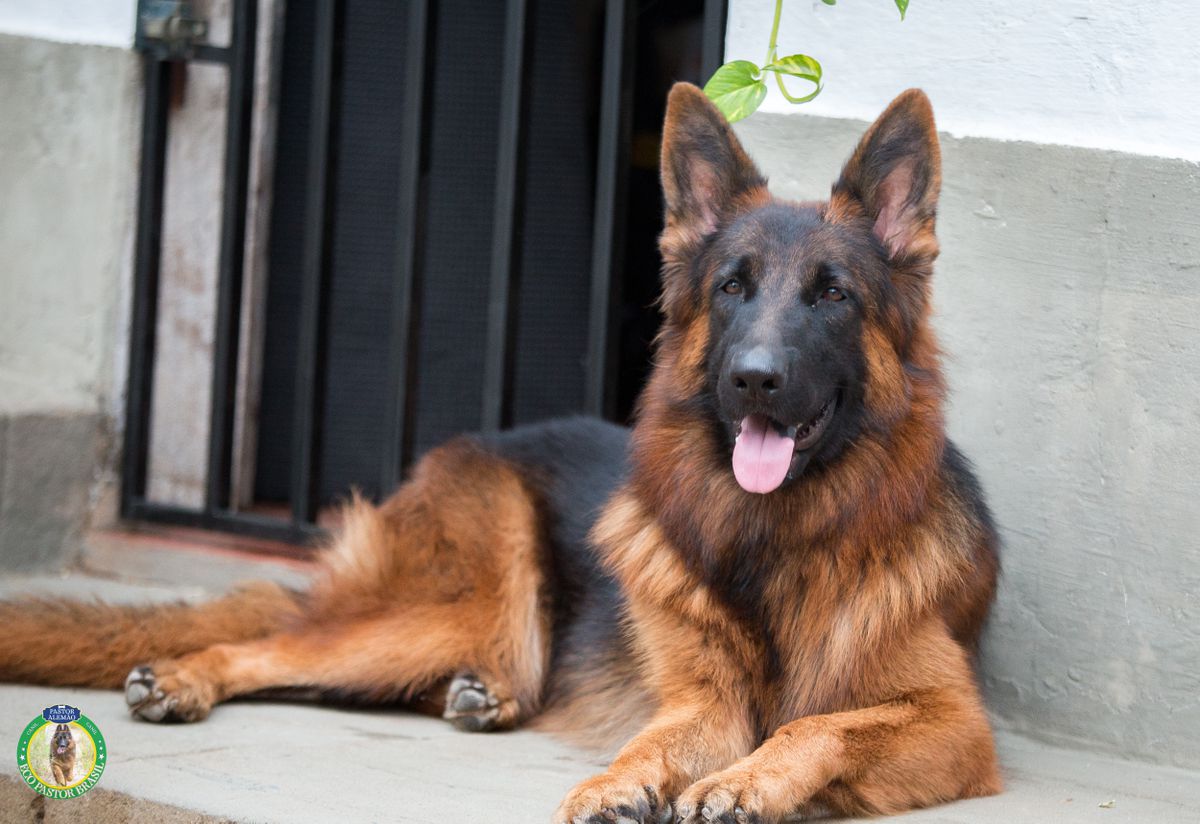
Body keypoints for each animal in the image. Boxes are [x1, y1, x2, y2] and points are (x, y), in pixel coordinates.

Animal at [0, 83, 998, 824]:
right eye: (731, 288)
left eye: (832, 295)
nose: (754, 379)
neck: (772, 537)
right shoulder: (699, 703)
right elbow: (654, 740)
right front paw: (615, 784)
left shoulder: (955, 726)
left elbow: (816, 729)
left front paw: (745, 782)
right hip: (478, 596)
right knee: (278, 642)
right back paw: (186, 678)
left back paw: (481, 697)